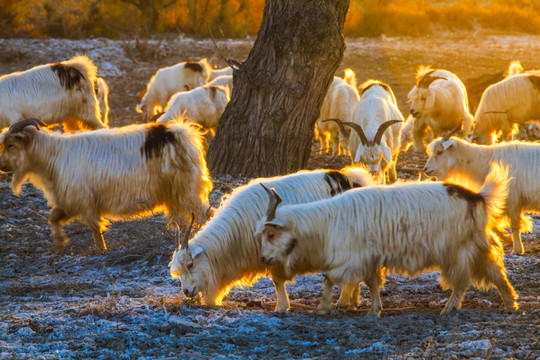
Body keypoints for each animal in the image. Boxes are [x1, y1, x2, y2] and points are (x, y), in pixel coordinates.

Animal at [0, 119, 212, 252]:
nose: (2, 166)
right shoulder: (71, 202)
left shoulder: (83, 200)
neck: (54, 156)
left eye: (11, 145)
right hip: (176, 195)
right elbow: (54, 218)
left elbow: (95, 228)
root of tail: (182, 134)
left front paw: (101, 249)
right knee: (190, 216)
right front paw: (59, 244)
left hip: (186, 191)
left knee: (203, 212)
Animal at [169, 166, 376, 310]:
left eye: (190, 264)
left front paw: (282, 307)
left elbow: (277, 280)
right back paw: (352, 302)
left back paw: (344, 301)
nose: (186, 291)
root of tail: (352, 181)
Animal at [258, 163, 520, 316]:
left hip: (456, 251)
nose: (263, 259)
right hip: (476, 246)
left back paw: (449, 308)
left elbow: (330, 278)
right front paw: (375, 310)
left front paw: (324, 307)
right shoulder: (369, 259)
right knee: (495, 272)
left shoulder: (353, 258)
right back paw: (510, 304)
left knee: (463, 280)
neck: (326, 222)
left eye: (271, 233)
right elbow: (373, 283)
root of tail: (477, 197)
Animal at [426, 127, 540, 256]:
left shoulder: (513, 201)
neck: (487, 161)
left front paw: (517, 249)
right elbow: (493, 224)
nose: (426, 169)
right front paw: (508, 239)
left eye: (439, 152)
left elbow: (514, 225)